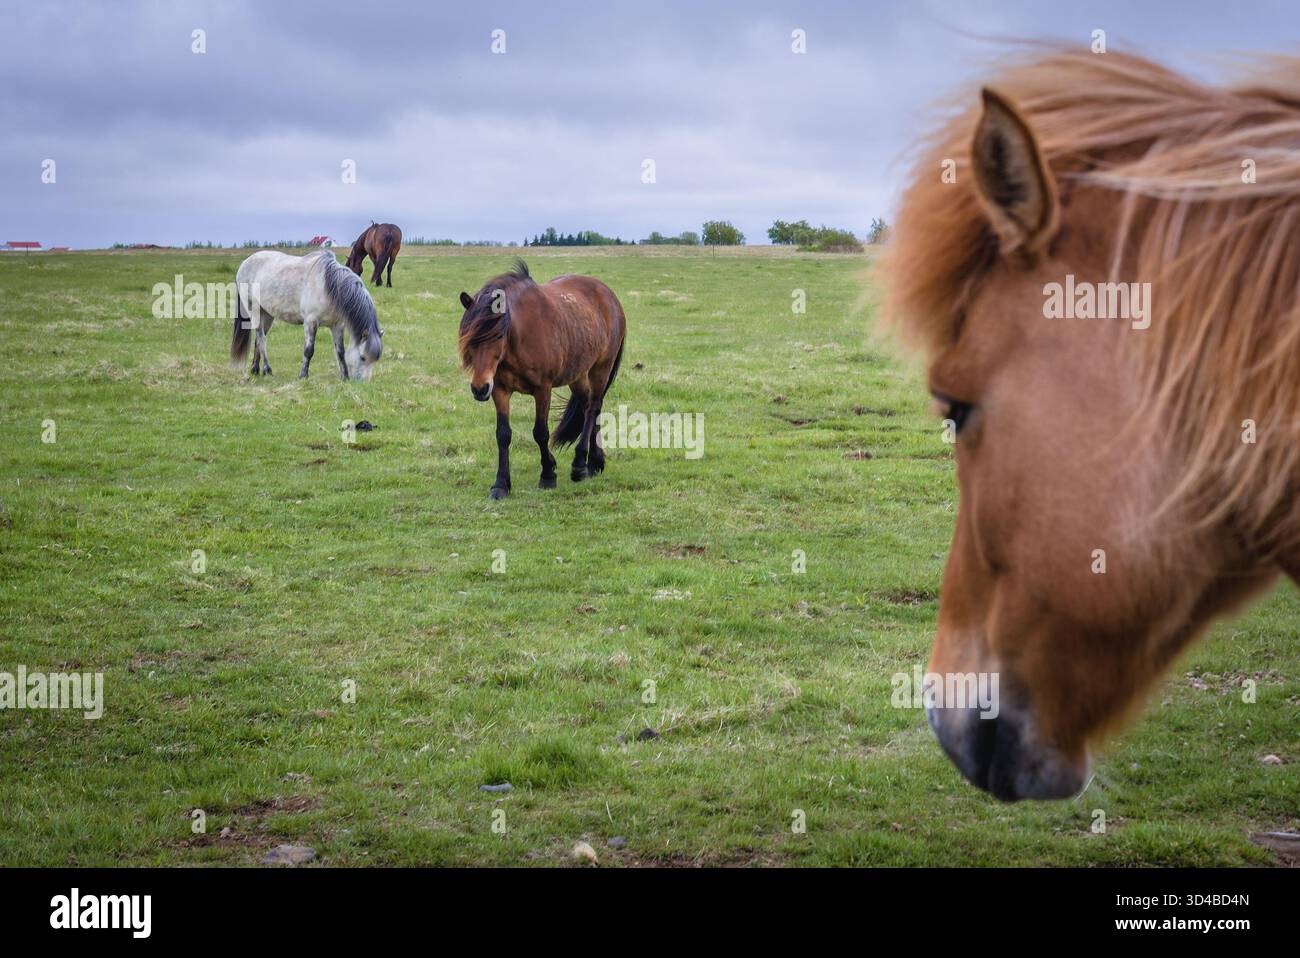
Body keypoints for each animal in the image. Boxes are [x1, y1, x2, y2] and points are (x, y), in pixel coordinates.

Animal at [231, 249, 383, 381]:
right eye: (363, 357)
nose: (362, 382)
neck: (327, 286)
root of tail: (245, 263)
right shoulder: (311, 322)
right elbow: (309, 350)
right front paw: (303, 375)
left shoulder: (337, 325)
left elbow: (340, 352)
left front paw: (344, 376)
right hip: (254, 311)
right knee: (261, 339)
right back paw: (268, 370)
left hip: (267, 314)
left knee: (258, 339)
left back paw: (256, 369)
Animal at [457, 260, 626, 499]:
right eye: (469, 336)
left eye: (498, 335)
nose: (479, 389)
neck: (519, 338)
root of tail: (609, 295)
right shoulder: (499, 390)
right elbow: (503, 434)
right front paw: (501, 484)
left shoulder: (543, 389)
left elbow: (540, 433)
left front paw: (548, 474)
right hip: (578, 374)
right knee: (588, 407)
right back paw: (594, 462)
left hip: (600, 369)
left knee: (594, 407)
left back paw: (580, 466)